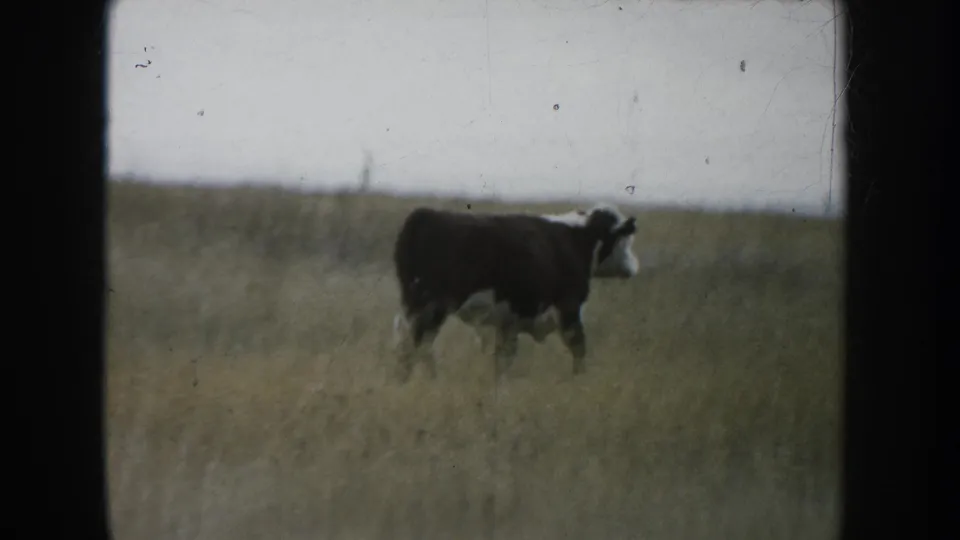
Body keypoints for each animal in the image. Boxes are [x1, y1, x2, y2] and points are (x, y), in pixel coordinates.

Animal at [390, 202, 640, 382]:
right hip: (431, 308)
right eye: (624, 239)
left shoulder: (508, 321)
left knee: (408, 345)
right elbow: (579, 348)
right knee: (417, 347)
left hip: (413, 306)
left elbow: (502, 361)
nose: (634, 267)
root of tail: (423, 215)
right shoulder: (567, 308)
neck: (577, 240)